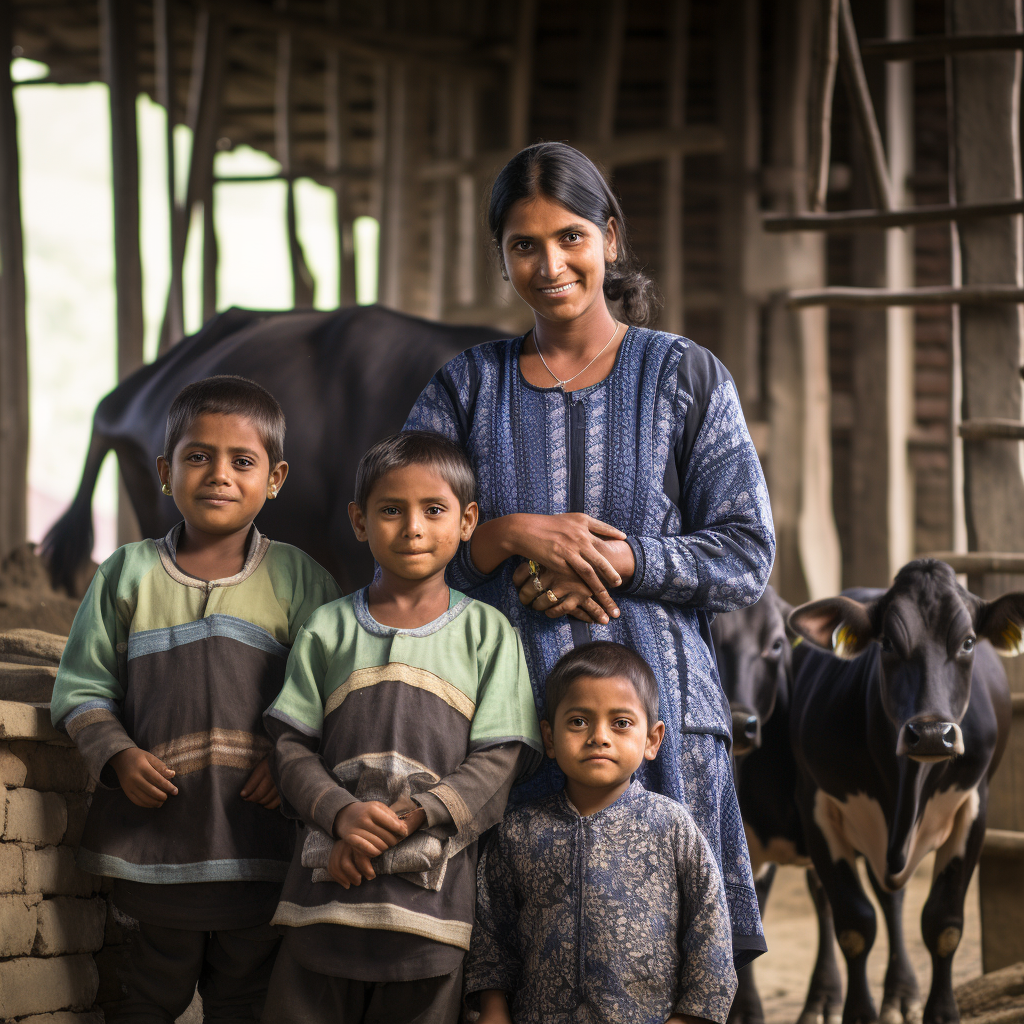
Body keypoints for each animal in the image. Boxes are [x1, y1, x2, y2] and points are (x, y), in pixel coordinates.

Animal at [782, 561, 1015, 1024]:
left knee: (893, 897)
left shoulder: (974, 806)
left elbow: (944, 923)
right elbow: (854, 924)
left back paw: (901, 994)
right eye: (887, 643)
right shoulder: (815, 804)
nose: (932, 733)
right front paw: (858, 1013)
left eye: (967, 642)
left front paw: (941, 1012)